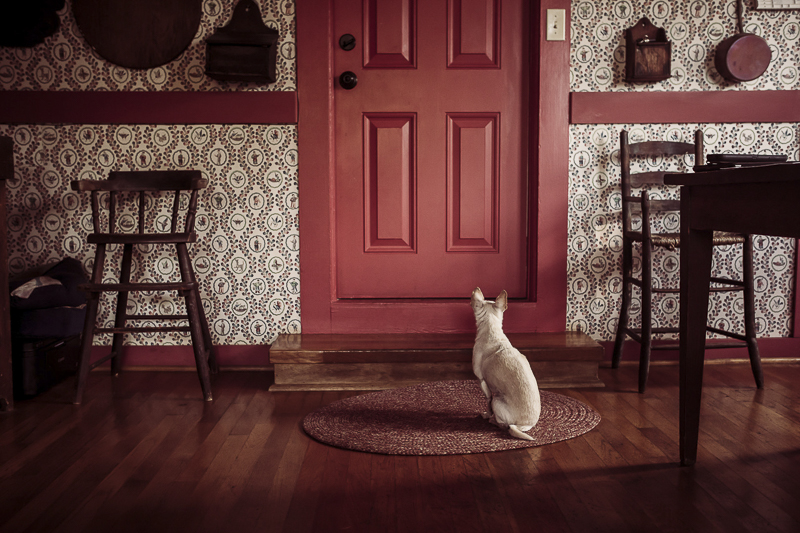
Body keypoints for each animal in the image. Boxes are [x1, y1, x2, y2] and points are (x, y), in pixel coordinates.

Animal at [472, 288, 540, 438]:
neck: (492, 331)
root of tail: (523, 426)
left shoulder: (481, 380)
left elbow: (487, 400)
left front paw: (487, 414)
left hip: (497, 400)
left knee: (504, 424)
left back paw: (493, 421)